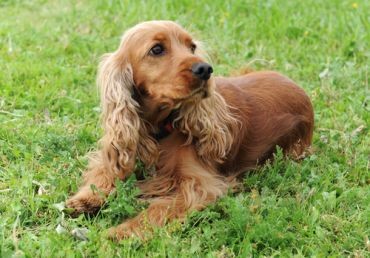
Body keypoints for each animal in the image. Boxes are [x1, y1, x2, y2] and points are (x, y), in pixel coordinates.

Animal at [66, 20, 312, 240]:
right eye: (157, 49)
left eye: (191, 47)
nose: (205, 69)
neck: (158, 130)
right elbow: (104, 171)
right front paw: (85, 199)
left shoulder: (198, 185)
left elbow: (159, 208)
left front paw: (123, 231)